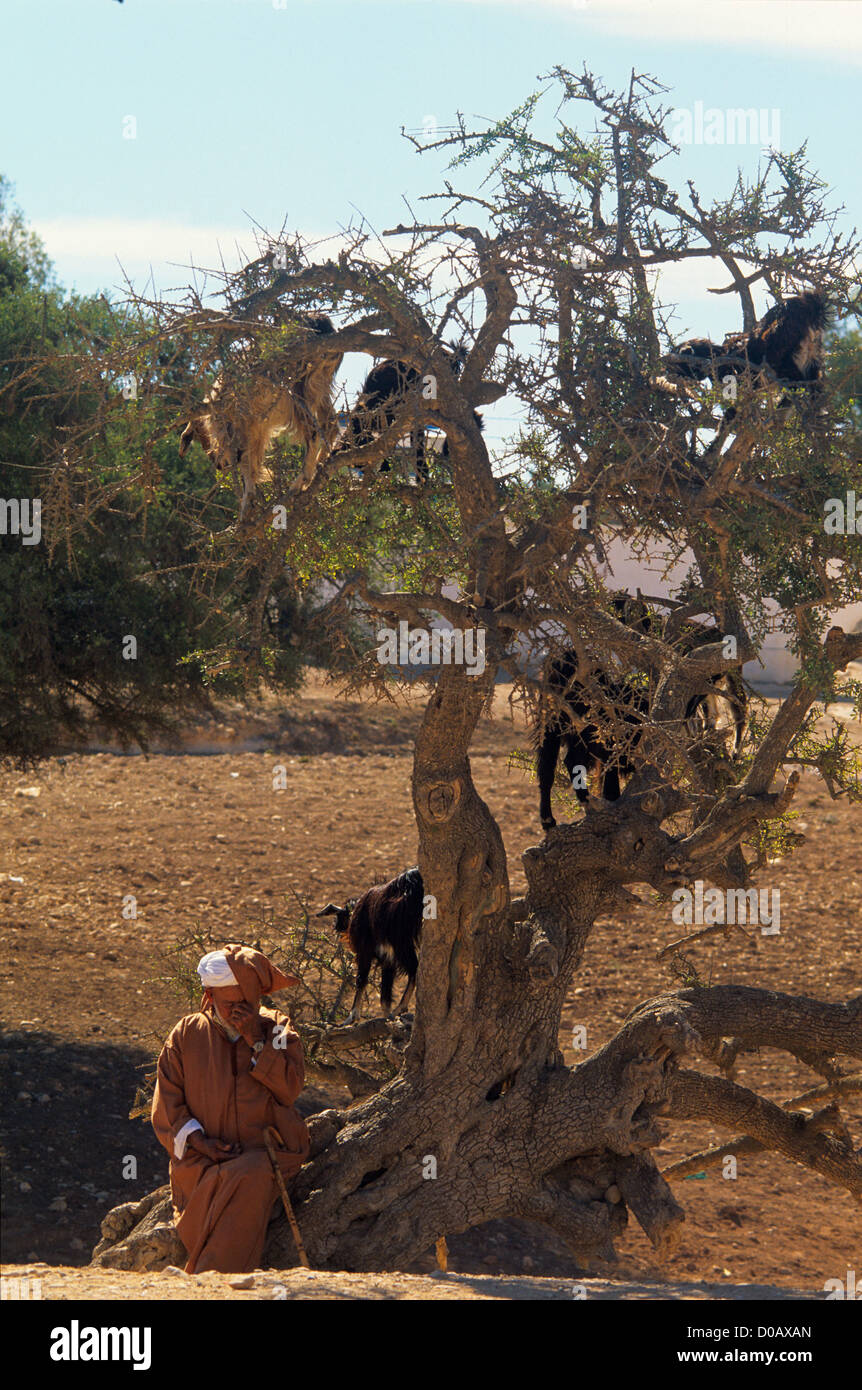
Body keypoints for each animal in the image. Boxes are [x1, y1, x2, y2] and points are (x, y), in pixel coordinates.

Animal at [178, 313, 342, 519]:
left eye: (200, 440)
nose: (219, 465)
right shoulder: (256, 431)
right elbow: (252, 463)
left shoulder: (242, 428)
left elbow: (246, 463)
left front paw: (246, 503)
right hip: (319, 386)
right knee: (330, 424)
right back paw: (320, 466)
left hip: (299, 386)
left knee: (313, 432)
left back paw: (300, 482)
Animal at [316, 866, 424, 1021]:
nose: (337, 927)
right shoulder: (388, 959)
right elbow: (385, 995)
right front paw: (387, 1016)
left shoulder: (365, 951)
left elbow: (361, 980)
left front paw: (352, 1016)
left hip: (401, 942)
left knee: (414, 968)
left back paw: (399, 1008)